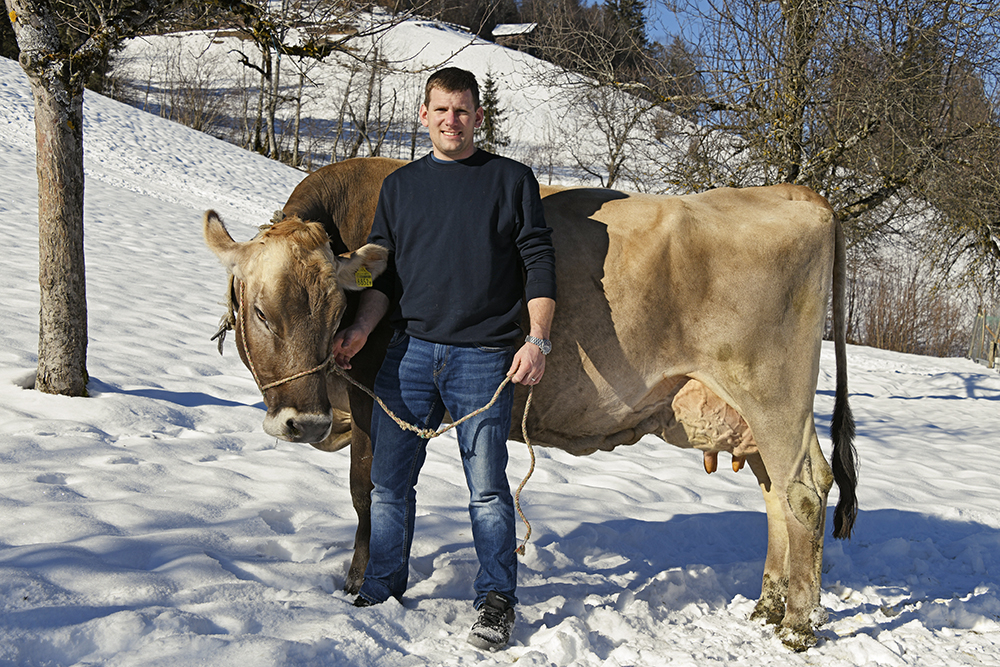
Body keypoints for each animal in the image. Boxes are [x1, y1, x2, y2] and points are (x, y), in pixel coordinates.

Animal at [205, 158, 860, 652]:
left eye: (335, 308)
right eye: (261, 310)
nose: (304, 422)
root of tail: (799, 194)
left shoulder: (376, 398)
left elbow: (367, 488)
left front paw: (359, 584)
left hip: (773, 393)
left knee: (804, 488)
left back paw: (797, 624)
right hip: (748, 414)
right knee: (776, 493)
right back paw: (768, 606)